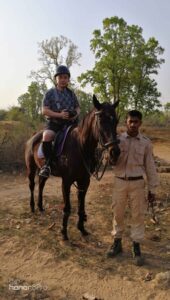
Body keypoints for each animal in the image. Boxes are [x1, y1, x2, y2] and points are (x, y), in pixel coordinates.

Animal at [24, 95, 119, 240]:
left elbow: (81, 205)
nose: (115, 152)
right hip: (31, 168)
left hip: (43, 171)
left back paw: (40, 207)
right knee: (32, 185)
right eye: (101, 120)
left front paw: (82, 228)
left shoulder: (84, 181)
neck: (81, 146)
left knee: (41, 184)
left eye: (116, 121)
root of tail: (33, 138)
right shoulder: (66, 182)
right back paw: (33, 207)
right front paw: (64, 232)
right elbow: (67, 208)